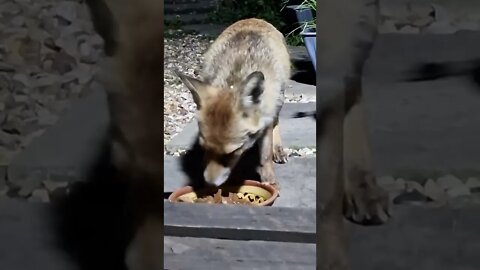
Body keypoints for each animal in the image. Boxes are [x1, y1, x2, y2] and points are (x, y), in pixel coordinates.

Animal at [174, 18, 290, 188]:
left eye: (231, 153)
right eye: (204, 148)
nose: (209, 184)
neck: (234, 81)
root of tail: (253, 19)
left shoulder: (266, 119)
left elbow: (265, 156)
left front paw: (268, 178)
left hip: (279, 99)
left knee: (277, 122)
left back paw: (278, 149)